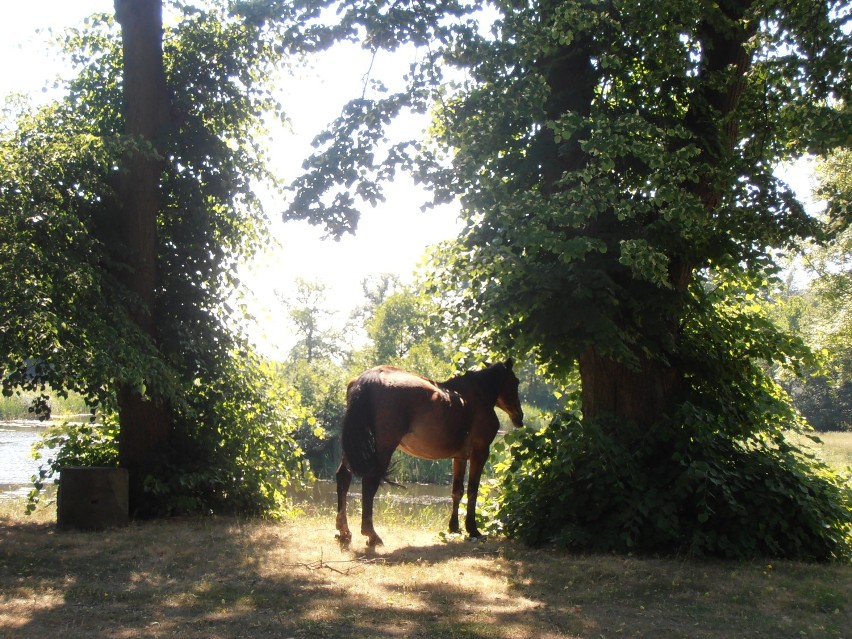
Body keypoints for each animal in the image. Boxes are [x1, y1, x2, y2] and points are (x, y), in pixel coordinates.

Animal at [334, 360, 524, 544]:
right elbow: (472, 490)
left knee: (343, 477)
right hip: (384, 447)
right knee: (370, 482)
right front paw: (473, 529)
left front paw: (454, 528)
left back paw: (344, 531)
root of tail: (370, 377)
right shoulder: (480, 452)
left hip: (354, 443)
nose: (520, 416)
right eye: (516, 382)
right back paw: (371, 534)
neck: (477, 395)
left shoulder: (460, 457)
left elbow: (457, 491)